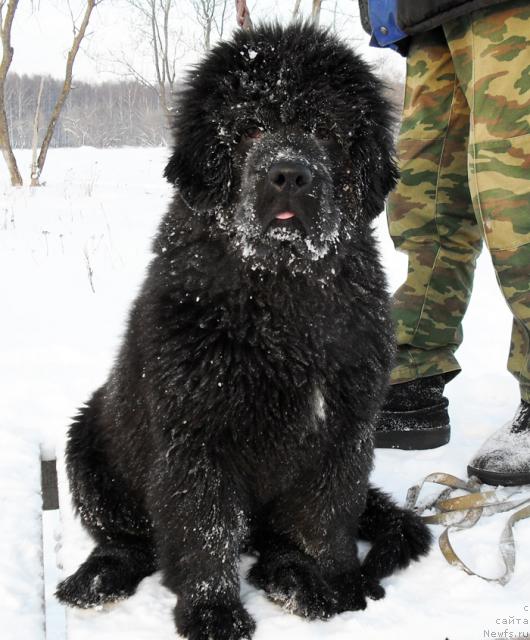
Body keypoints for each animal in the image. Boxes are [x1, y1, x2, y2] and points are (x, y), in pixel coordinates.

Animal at [56, 22, 428, 640]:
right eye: (250, 127)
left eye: (323, 130)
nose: (289, 174)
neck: (280, 300)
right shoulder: (196, 437)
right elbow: (204, 531)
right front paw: (212, 614)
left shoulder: (344, 431)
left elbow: (325, 518)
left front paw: (335, 582)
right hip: (87, 445)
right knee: (130, 538)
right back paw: (100, 575)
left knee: (275, 539)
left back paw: (290, 579)